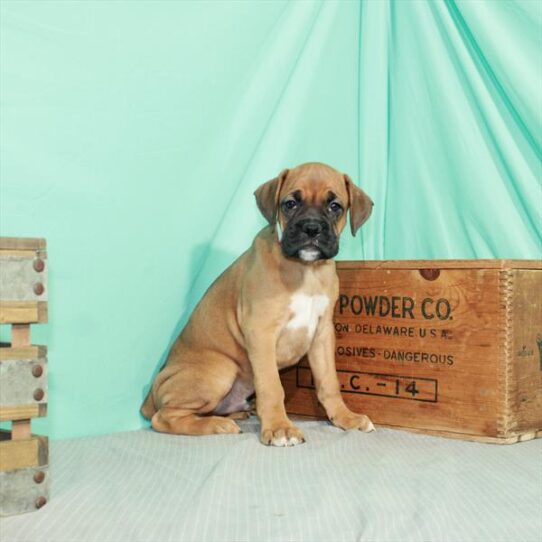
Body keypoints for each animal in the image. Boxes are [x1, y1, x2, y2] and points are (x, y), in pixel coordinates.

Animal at [142, 162, 376, 446]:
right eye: (290, 203)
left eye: (335, 206)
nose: (311, 228)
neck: (305, 270)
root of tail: (150, 397)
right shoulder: (261, 331)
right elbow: (272, 387)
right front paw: (279, 427)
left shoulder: (322, 334)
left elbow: (329, 382)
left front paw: (345, 417)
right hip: (220, 369)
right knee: (163, 418)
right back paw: (217, 425)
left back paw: (238, 413)